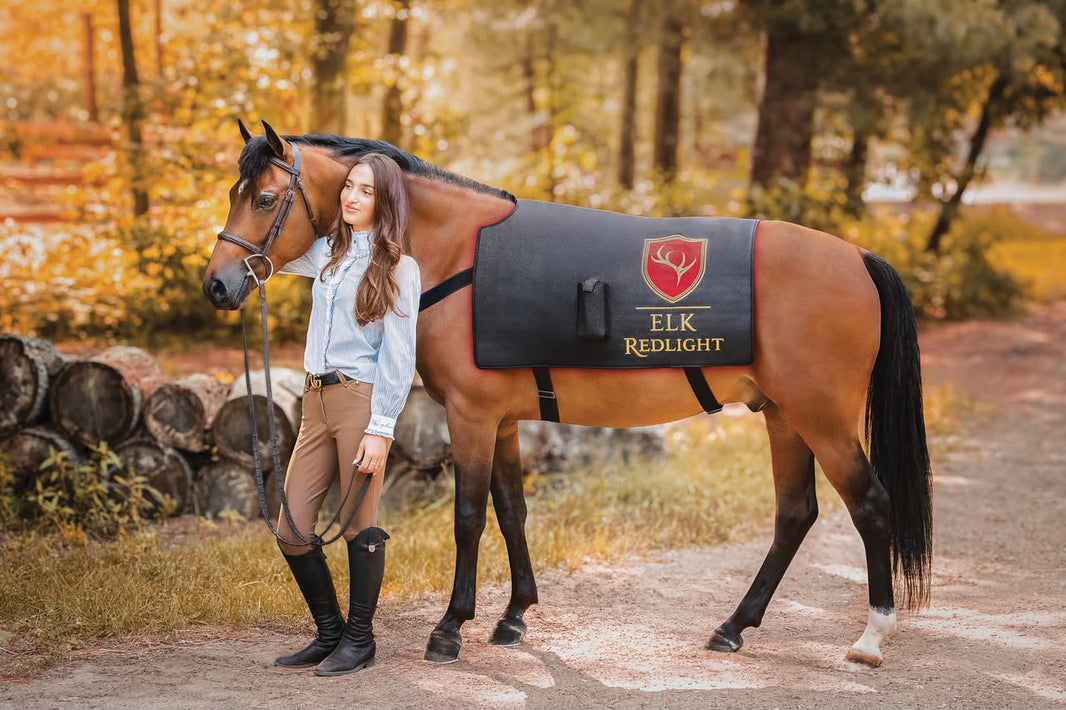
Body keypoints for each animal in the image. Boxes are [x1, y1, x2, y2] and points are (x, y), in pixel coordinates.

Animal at [202, 120, 932, 669]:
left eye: (264, 198)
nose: (217, 286)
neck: (458, 255)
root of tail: (858, 257)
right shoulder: (500, 420)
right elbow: (512, 511)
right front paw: (514, 616)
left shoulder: (471, 415)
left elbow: (468, 516)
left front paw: (451, 627)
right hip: (784, 415)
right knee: (794, 514)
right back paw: (733, 626)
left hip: (822, 418)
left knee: (870, 506)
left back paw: (871, 637)